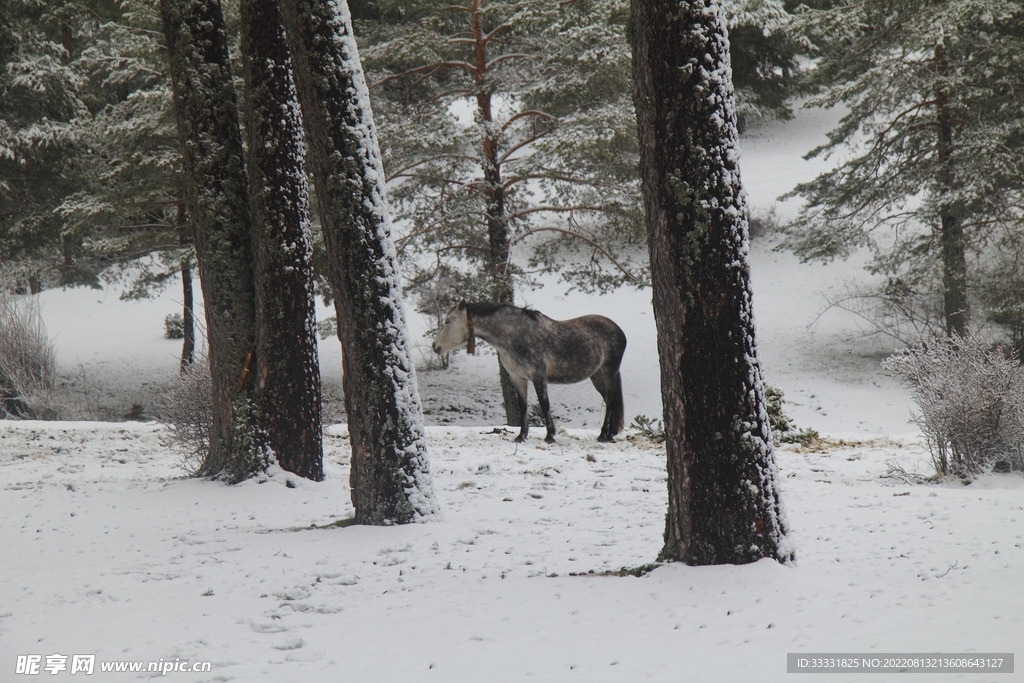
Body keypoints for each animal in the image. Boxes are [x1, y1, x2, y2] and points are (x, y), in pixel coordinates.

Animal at [432, 300, 626, 443]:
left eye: (448, 321)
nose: (435, 346)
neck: (516, 335)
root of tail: (618, 329)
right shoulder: (518, 378)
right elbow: (523, 405)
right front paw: (521, 436)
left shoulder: (538, 377)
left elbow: (544, 404)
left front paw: (550, 436)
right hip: (597, 376)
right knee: (609, 399)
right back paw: (610, 433)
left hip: (609, 371)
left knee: (610, 399)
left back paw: (603, 435)